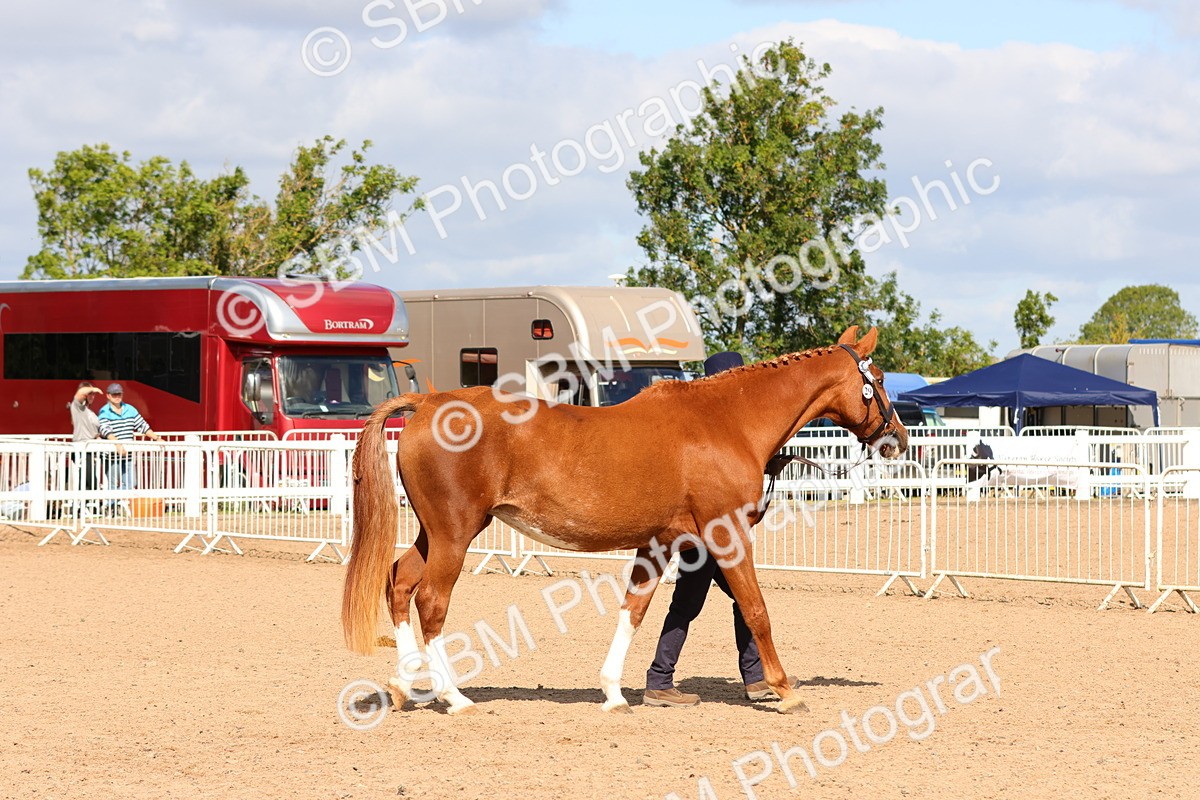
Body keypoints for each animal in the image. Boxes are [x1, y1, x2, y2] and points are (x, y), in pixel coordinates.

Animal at [342, 325, 908, 715]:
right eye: (877, 380)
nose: (898, 439)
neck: (727, 420)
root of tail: (428, 401)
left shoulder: (660, 543)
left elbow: (635, 610)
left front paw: (614, 692)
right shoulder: (728, 536)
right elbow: (755, 609)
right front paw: (786, 690)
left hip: (437, 533)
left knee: (399, 581)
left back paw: (405, 685)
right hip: (455, 535)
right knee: (431, 602)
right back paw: (453, 696)